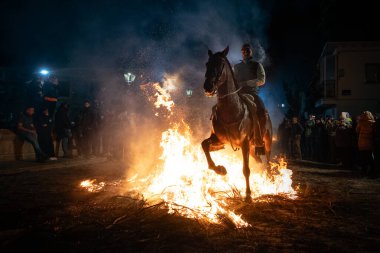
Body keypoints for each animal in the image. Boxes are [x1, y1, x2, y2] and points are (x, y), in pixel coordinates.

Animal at [202, 46, 274, 199]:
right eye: (207, 64)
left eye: (221, 65)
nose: (208, 87)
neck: (232, 110)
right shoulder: (219, 139)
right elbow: (204, 145)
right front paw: (220, 169)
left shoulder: (245, 143)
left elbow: (246, 169)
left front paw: (248, 195)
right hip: (252, 148)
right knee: (257, 159)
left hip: (267, 141)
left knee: (268, 160)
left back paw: (270, 176)